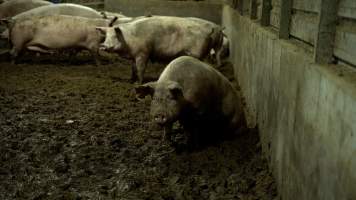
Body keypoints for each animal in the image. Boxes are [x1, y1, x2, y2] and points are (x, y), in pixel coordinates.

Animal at [96, 15, 225, 83]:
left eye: (115, 36)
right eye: (106, 36)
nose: (103, 46)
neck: (128, 38)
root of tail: (209, 31)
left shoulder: (143, 53)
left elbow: (140, 68)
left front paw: (139, 83)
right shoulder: (134, 55)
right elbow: (133, 68)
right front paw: (131, 80)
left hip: (199, 54)